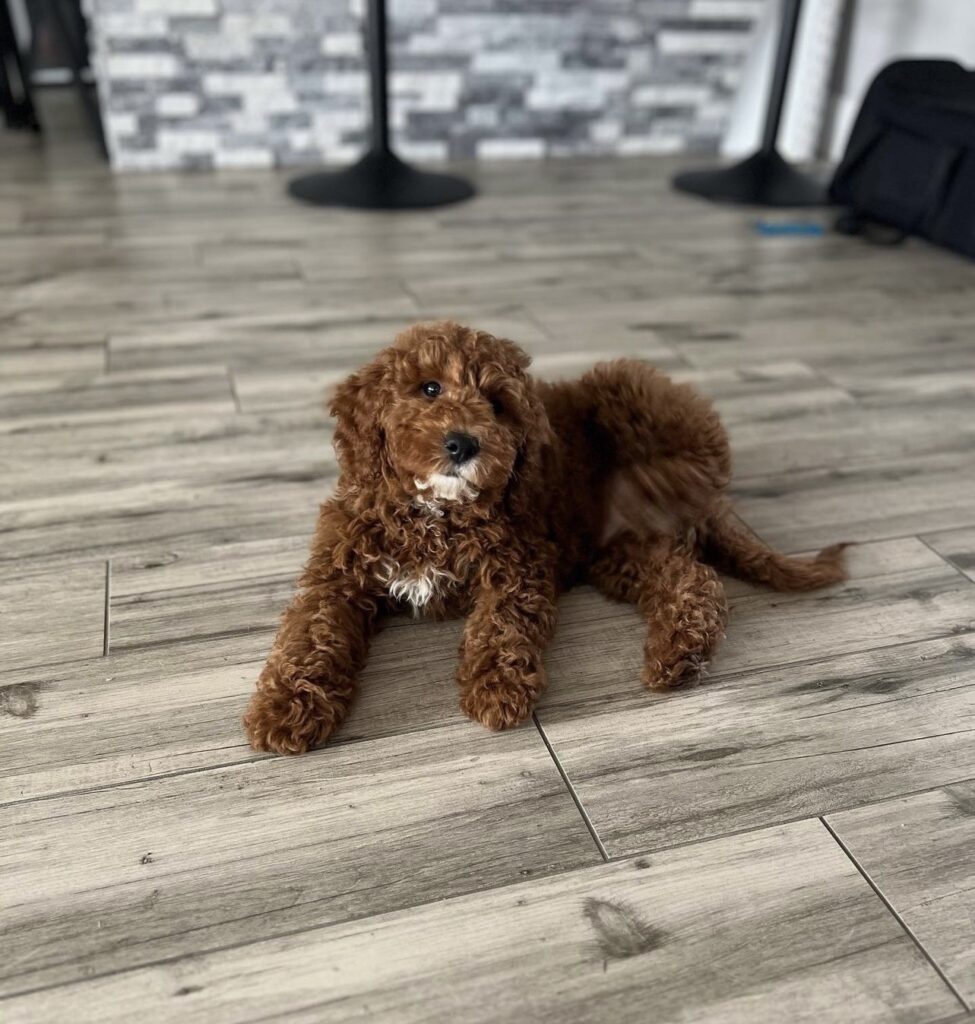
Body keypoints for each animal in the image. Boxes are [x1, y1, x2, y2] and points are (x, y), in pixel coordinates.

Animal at [245, 319, 843, 753]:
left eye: (497, 405)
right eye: (429, 388)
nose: (463, 444)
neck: (434, 511)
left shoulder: (519, 560)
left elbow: (502, 624)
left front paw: (497, 689)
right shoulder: (338, 571)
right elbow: (311, 632)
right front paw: (286, 707)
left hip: (630, 391)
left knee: (701, 469)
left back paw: (651, 484)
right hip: (620, 553)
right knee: (689, 580)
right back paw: (678, 654)